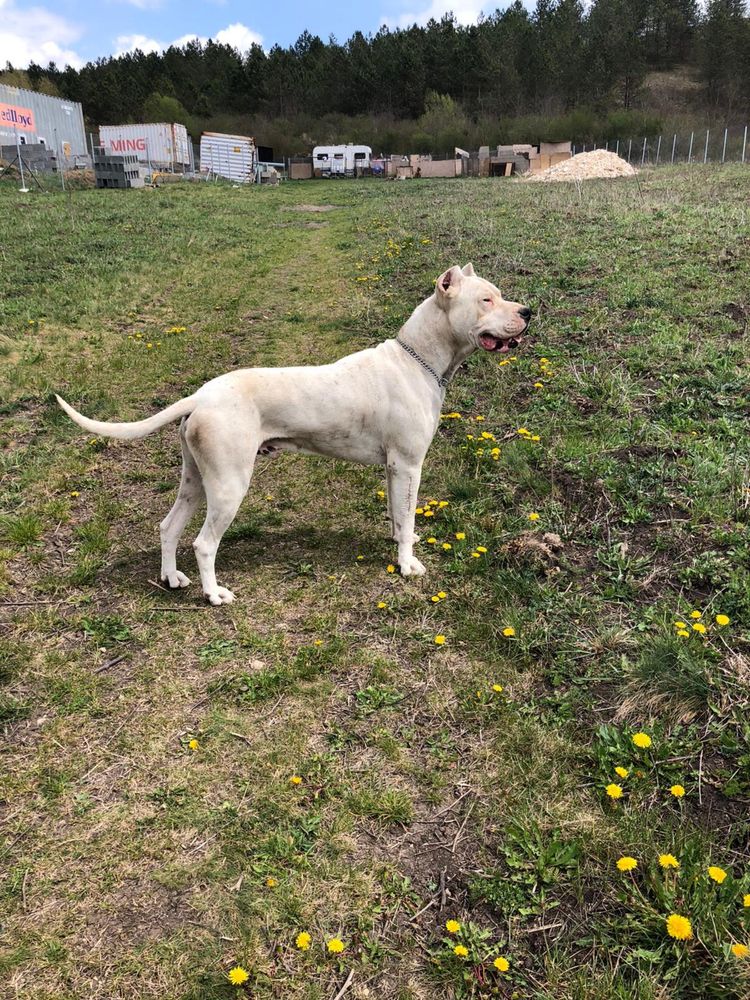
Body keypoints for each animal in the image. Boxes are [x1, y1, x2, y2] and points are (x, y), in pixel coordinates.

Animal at [57, 266, 528, 604]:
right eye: (486, 299)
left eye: (499, 294)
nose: (526, 312)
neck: (419, 360)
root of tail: (201, 395)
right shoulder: (409, 465)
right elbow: (409, 517)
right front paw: (408, 565)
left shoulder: (395, 470)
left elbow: (399, 517)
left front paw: (400, 547)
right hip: (229, 485)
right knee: (204, 543)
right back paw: (214, 595)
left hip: (195, 480)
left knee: (169, 527)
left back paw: (172, 578)